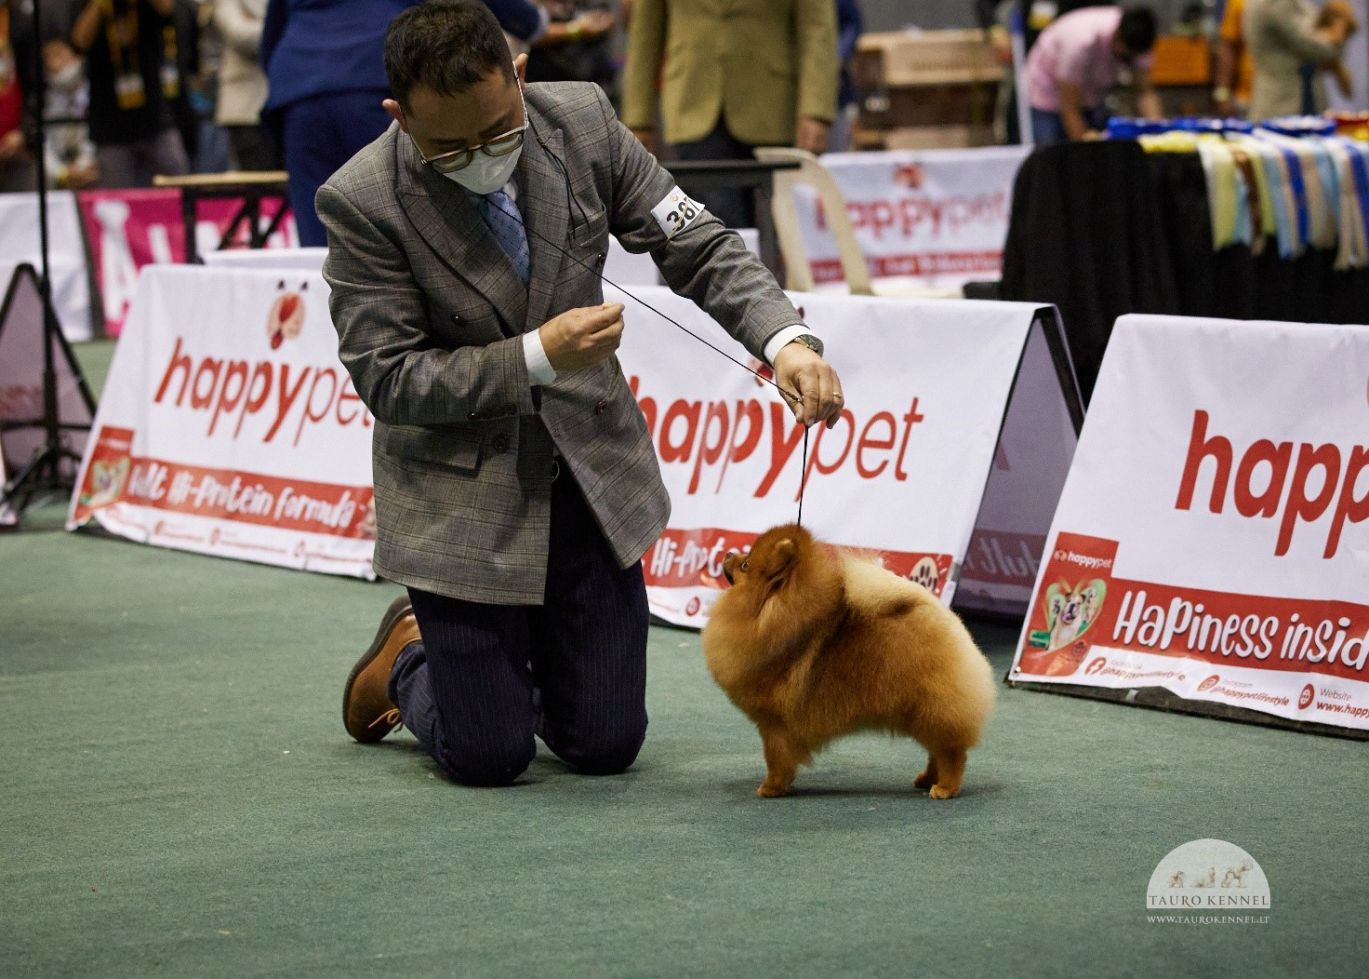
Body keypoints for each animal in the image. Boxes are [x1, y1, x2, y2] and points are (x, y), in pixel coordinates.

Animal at [706, 525, 996, 799]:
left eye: (745, 564)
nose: (729, 554)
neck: (771, 618)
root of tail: (936, 610)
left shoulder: (775, 724)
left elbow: (776, 760)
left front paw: (771, 788)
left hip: (933, 706)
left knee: (951, 753)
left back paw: (945, 788)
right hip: (924, 711)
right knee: (936, 749)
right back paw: (926, 779)